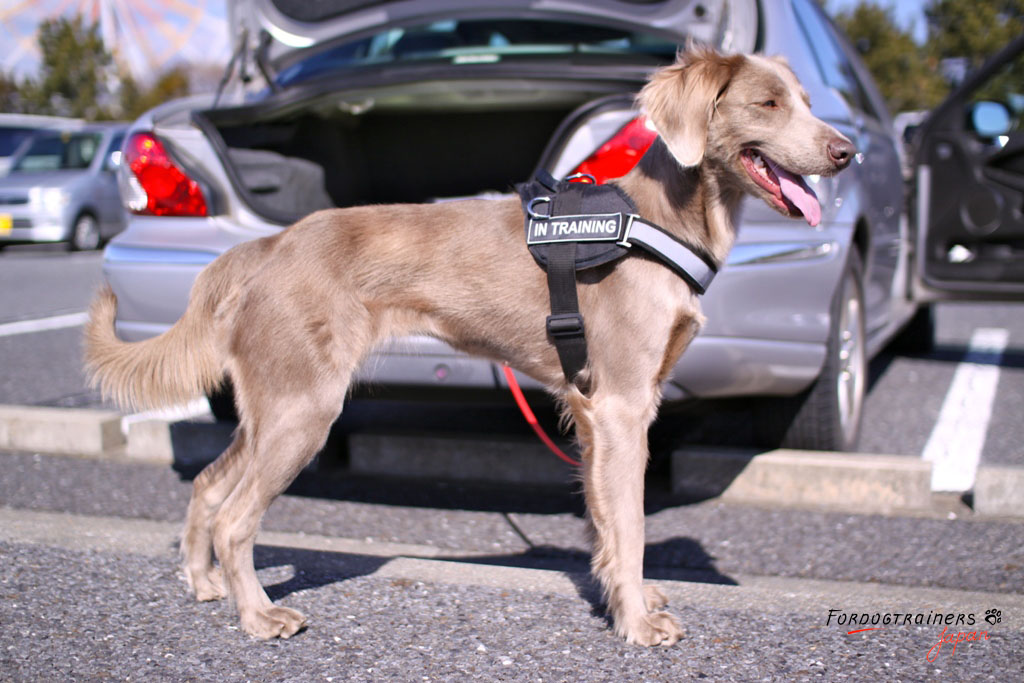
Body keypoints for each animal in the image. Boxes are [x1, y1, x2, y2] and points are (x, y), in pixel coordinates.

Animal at [86, 49, 856, 647]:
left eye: (808, 102)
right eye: (766, 103)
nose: (848, 152)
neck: (658, 219)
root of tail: (266, 246)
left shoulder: (594, 413)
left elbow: (606, 525)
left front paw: (624, 596)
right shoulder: (623, 405)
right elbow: (632, 523)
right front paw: (638, 623)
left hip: (271, 404)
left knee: (208, 488)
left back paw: (202, 584)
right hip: (302, 409)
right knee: (236, 517)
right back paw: (259, 617)